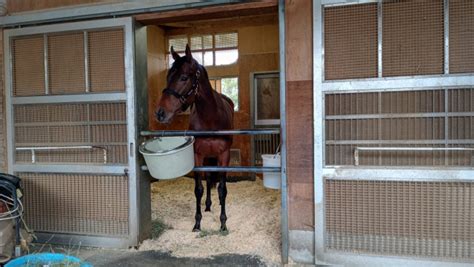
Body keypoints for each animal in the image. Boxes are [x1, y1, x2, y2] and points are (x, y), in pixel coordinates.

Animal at [155, 44, 234, 232]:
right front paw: (197, 223)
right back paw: (207, 205)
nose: (160, 113)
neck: (211, 118)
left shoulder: (224, 156)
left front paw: (223, 223)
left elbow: (222, 189)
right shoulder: (198, 155)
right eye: (168, 77)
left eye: (184, 77)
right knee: (208, 179)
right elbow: (198, 189)